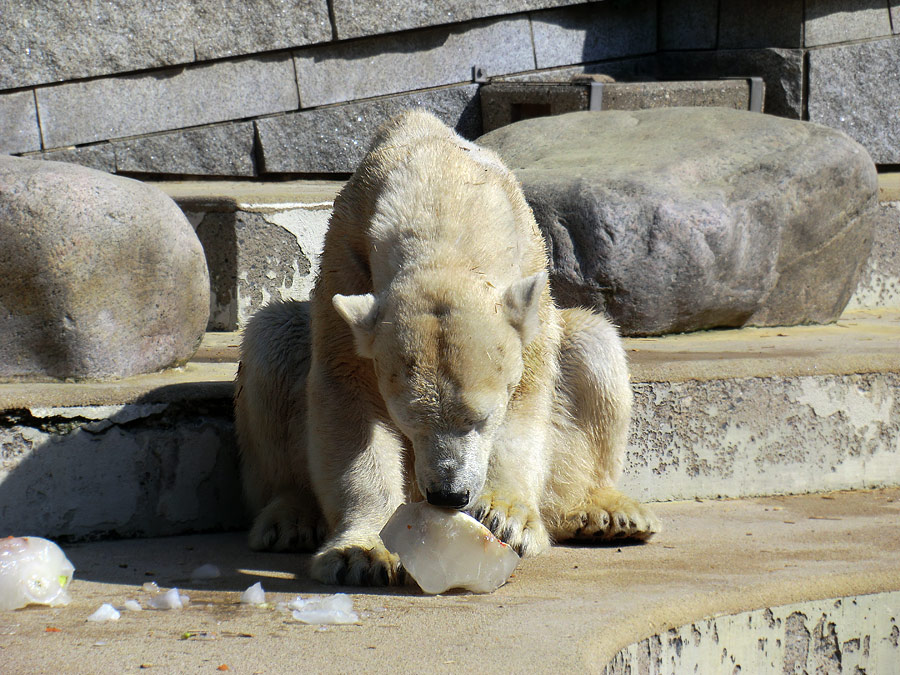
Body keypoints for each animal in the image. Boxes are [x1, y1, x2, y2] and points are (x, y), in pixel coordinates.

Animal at [236, 111, 656, 588]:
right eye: (408, 421)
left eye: (483, 418)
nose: (448, 494)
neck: (444, 189)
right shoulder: (346, 261)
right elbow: (347, 397)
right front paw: (361, 554)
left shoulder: (531, 269)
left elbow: (530, 393)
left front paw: (505, 518)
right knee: (273, 342)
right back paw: (289, 517)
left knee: (593, 344)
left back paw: (605, 512)